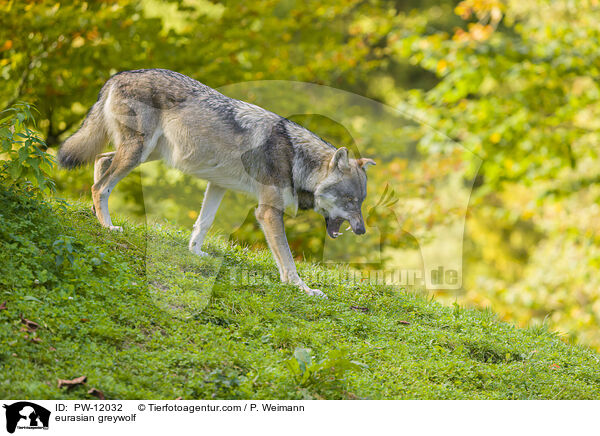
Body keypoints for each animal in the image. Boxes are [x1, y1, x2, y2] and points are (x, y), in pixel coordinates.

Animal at [57, 69, 376, 296]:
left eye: (360, 202)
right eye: (349, 201)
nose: (361, 231)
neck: (296, 158)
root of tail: (118, 76)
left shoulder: (218, 185)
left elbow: (203, 223)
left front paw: (197, 254)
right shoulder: (268, 212)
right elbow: (287, 261)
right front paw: (303, 289)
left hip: (147, 153)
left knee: (101, 161)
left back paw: (97, 214)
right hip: (139, 153)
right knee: (101, 186)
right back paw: (107, 226)